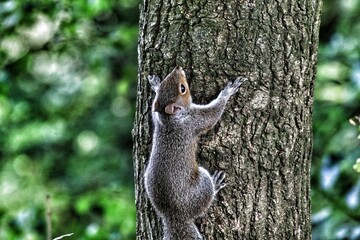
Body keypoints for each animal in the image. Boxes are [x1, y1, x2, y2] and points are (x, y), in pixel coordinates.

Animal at [145, 66, 246, 240]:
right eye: (182, 89)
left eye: (166, 81)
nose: (178, 67)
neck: (170, 118)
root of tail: (174, 216)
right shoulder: (194, 120)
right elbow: (213, 114)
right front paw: (228, 92)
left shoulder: (156, 116)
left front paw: (155, 85)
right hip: (201, 186)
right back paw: (216, 184)